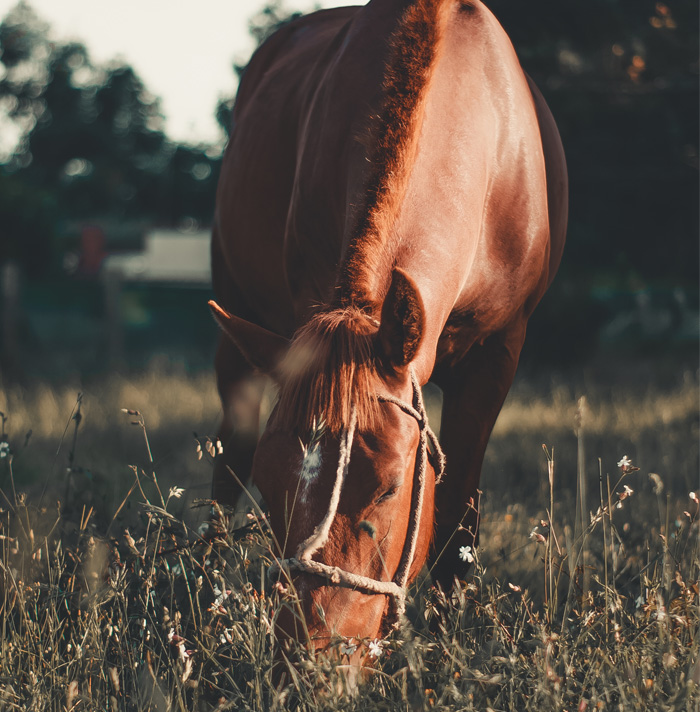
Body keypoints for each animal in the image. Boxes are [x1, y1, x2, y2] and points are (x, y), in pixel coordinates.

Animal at [209, 0, 567, 657]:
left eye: (391, 488)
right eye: (271, 492)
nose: (314, 656)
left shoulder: (497, 356)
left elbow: (459, 516)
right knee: (229, 455)